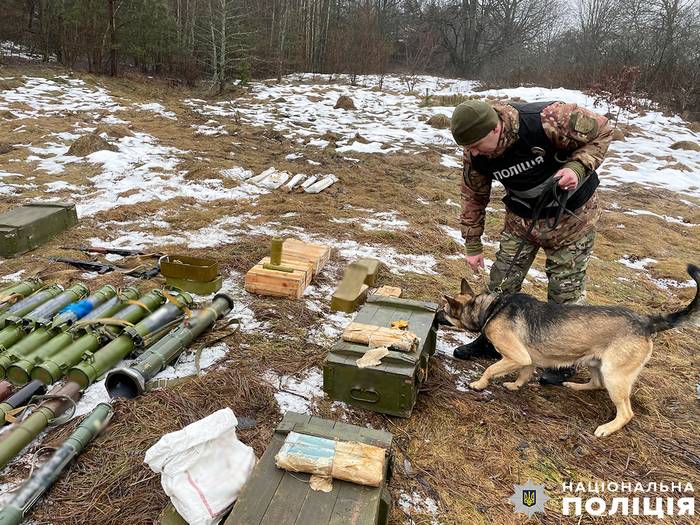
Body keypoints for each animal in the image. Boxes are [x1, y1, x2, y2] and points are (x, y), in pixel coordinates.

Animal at [442, 264, 700, 436]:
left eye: (444, 311)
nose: (436, 314)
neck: (491, 307)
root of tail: (647, 321)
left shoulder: (516, 355)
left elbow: (490, 370)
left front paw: (479, 384)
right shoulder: (527, 358)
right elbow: (525, 373)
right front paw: (516, 385)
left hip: (615, 375)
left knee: (626, 412)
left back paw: (607, 428)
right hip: (595, 363)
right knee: (596, 384)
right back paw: (574, 386)